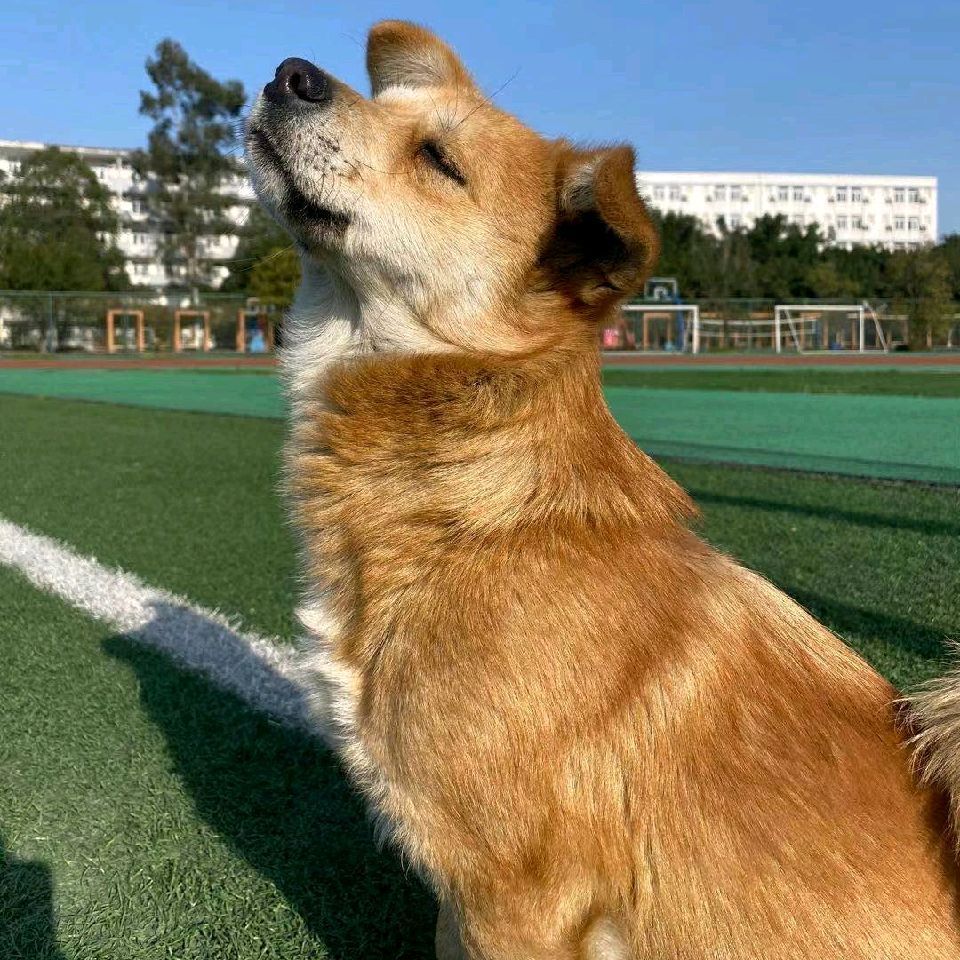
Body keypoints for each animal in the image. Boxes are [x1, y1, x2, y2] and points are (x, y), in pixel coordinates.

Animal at [245, 21, 960, 958]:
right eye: (384, 104)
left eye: (438, 158)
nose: (288, 73)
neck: (482, 515)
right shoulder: (465, 899)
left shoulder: (514, 897)